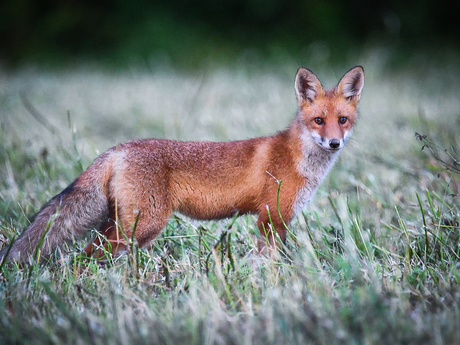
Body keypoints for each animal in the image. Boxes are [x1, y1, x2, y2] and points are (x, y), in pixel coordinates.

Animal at [0, 66, 364, 262]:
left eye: (342, 121)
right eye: (318, 121)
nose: (334, 143)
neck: (298, 159)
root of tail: (117, 149)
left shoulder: (275, 221)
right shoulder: (270, 218)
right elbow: (270, 263)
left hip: (126, 225)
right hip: (143, 225)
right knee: (86, 256)